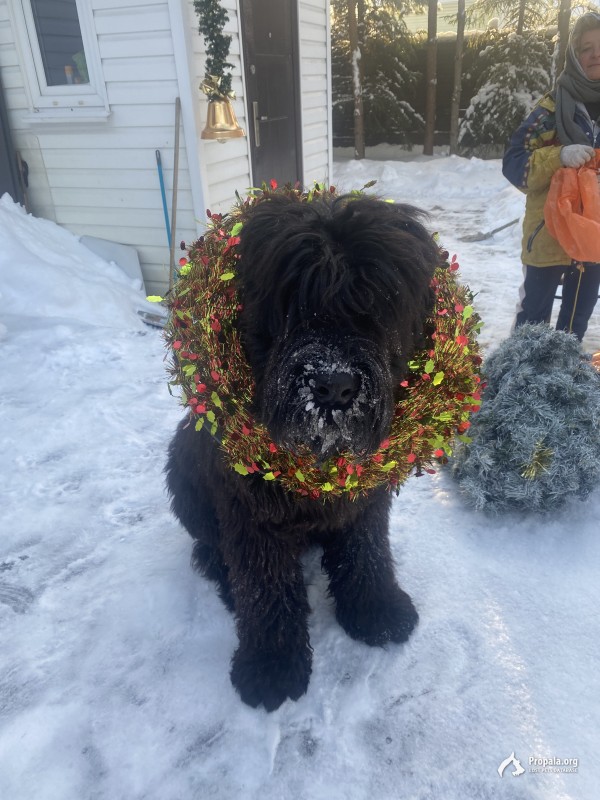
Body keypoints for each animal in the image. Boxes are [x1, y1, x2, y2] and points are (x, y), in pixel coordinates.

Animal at [166, 194, 438, 708]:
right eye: (290, 305)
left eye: (377, 304)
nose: (334, 386)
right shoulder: (252, 513)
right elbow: (265, 586)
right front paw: (270, 665)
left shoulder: (365, 499)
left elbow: (367, 551)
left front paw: (378, 611)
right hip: (182, 470)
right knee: (209, 546)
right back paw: (222, 575)